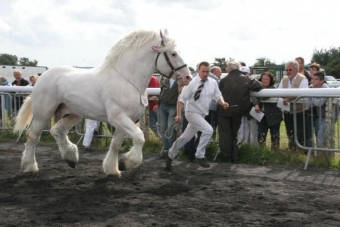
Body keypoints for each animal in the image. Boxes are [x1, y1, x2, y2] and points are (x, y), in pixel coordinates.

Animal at [13, 28, 193, 177]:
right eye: (173, 54)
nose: (187, 77)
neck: (128, 79)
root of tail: (42, 78)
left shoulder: (126, 120)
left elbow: (116, 145)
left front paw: (113, 169)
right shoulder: (118, 118)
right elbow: (139, 137)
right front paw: (127, 163)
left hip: (73, 114)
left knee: (57, 130)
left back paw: (71, 158)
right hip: (43, 114)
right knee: (32, 137)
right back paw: (30, 167)